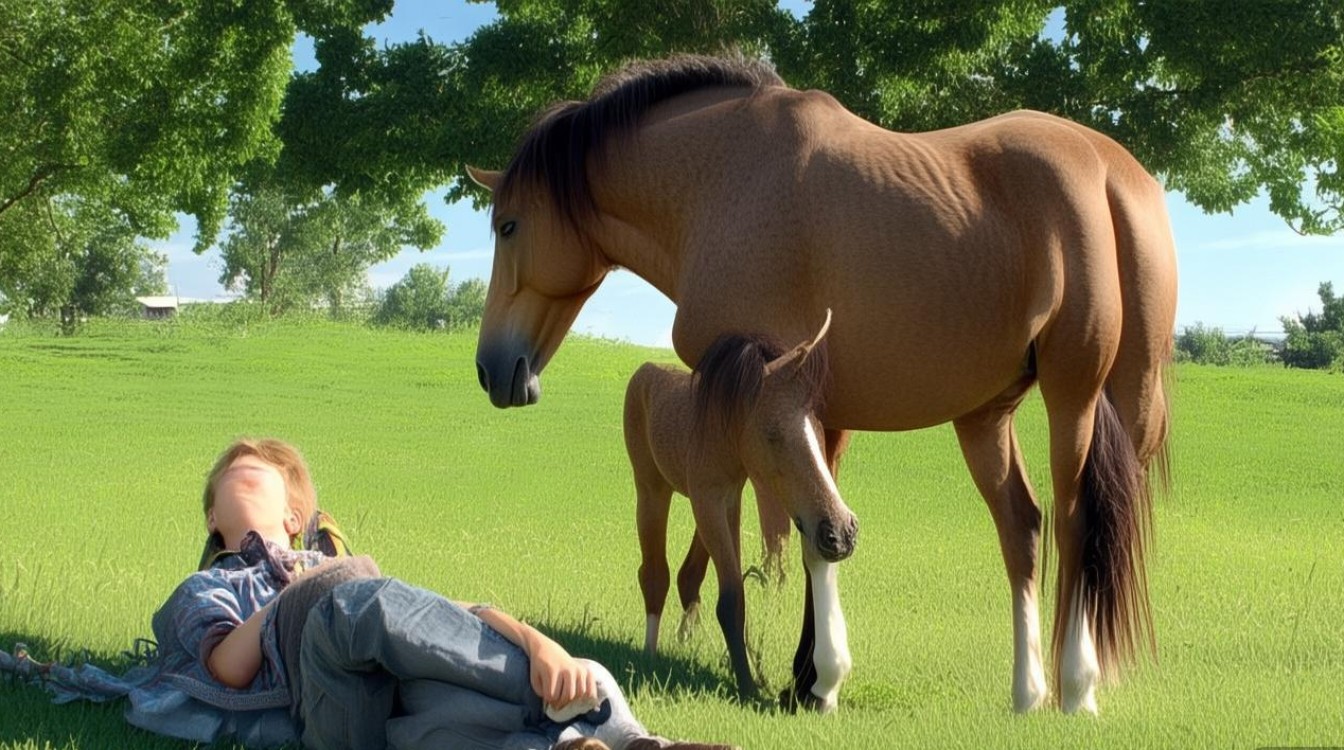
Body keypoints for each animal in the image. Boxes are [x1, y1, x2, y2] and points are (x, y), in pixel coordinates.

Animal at [624, 313, 853, 706]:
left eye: (818, 428)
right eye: (773, 434)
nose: (842, 532)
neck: (719, 429)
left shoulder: (731, 497)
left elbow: (730, 591)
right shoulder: (708, 498)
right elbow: (731, 598)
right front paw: (748, 688)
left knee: (685, 575)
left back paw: (686, 637)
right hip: (651, 489)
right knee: (654, 573)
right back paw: (650, 653)